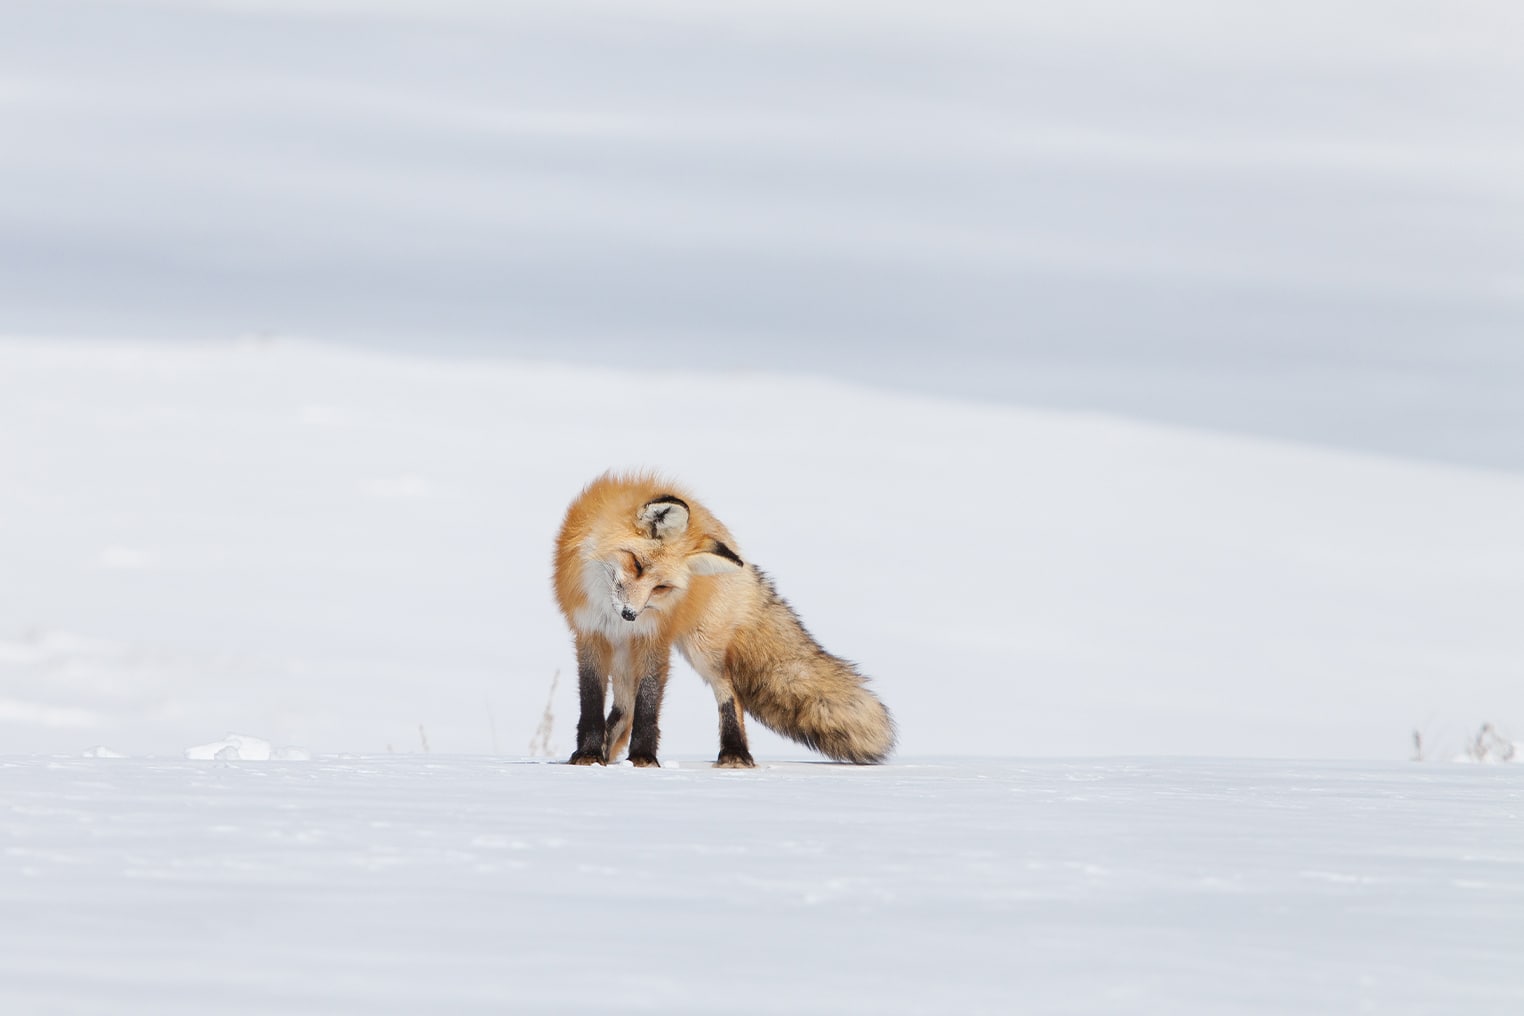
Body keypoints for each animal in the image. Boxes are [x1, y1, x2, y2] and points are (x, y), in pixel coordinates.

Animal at [552, 471, 895, 768]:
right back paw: (608, 749)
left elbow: (649, 702)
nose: (630, 615)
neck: (608, 610)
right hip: (626, 653)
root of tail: (735, 549)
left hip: (702, 648)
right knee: (624, 707)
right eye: (636, 564)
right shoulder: (590, 633)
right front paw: (588, 755)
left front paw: (643, 758)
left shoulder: (655, 636)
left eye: (661, 587)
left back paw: (735, 753)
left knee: (729, 690)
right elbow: (592, 699)